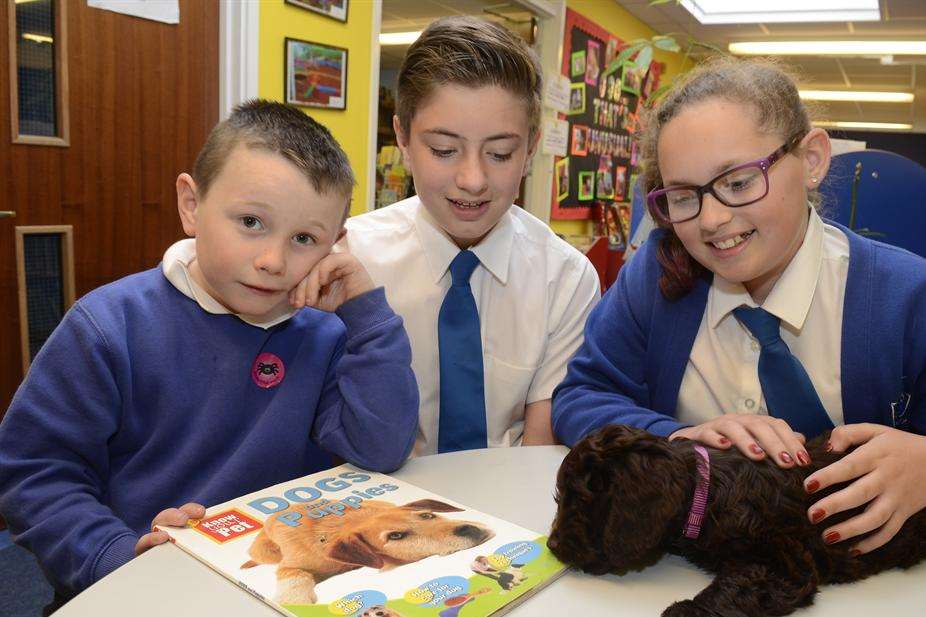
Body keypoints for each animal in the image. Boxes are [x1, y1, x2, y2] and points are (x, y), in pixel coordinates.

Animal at [548, 426, 926, 612]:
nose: (551, 546)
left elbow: (735, 587)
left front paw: (686, 610)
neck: (705, 491)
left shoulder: (784, 562)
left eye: (581, 500)